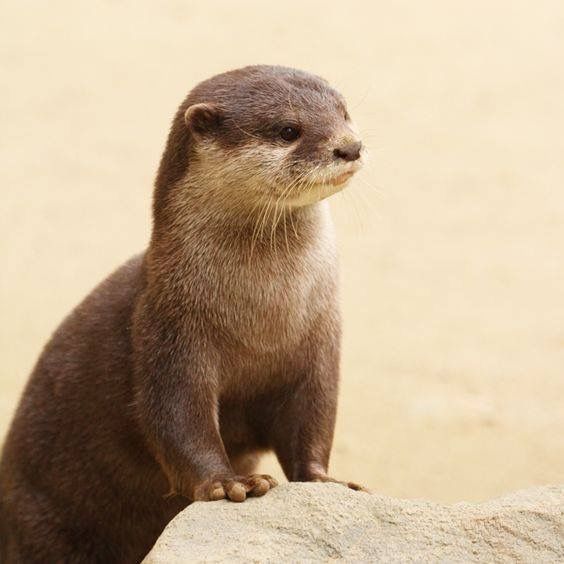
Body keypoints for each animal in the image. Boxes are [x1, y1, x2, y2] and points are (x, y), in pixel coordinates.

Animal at [0, 67, 366, 564]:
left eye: (344, 113)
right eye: (288, 130)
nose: (351, 146)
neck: (264, 319)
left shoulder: (319, 346)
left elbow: (313, 420)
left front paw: (328, 480)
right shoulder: (167, 331)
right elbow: (175, 418)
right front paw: (230, 483)